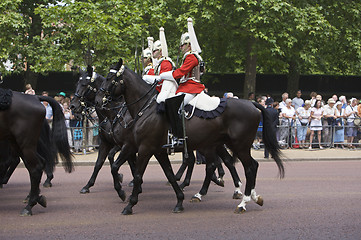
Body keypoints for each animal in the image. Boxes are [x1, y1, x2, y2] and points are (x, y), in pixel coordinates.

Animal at [69, 66, 135, 199]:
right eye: (77, 83)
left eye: (85, 84)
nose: (72, 106)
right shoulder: (106, 143)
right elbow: (99, 163)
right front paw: (87, 186)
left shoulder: (122, 144)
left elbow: (112, 158)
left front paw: (120, 179)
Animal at [101, 59, 284, 215]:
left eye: (109, 77)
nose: (101, 101)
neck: (146, 108)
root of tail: (251, 103)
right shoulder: (153, 149)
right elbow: (166, 173)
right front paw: (179, 201)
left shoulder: (145, 148)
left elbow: (138, 175)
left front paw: (129, 204)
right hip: (224, 145)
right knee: (238, 165)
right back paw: (250, 196)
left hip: (238, 145)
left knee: (248, 167)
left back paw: (242, 202)